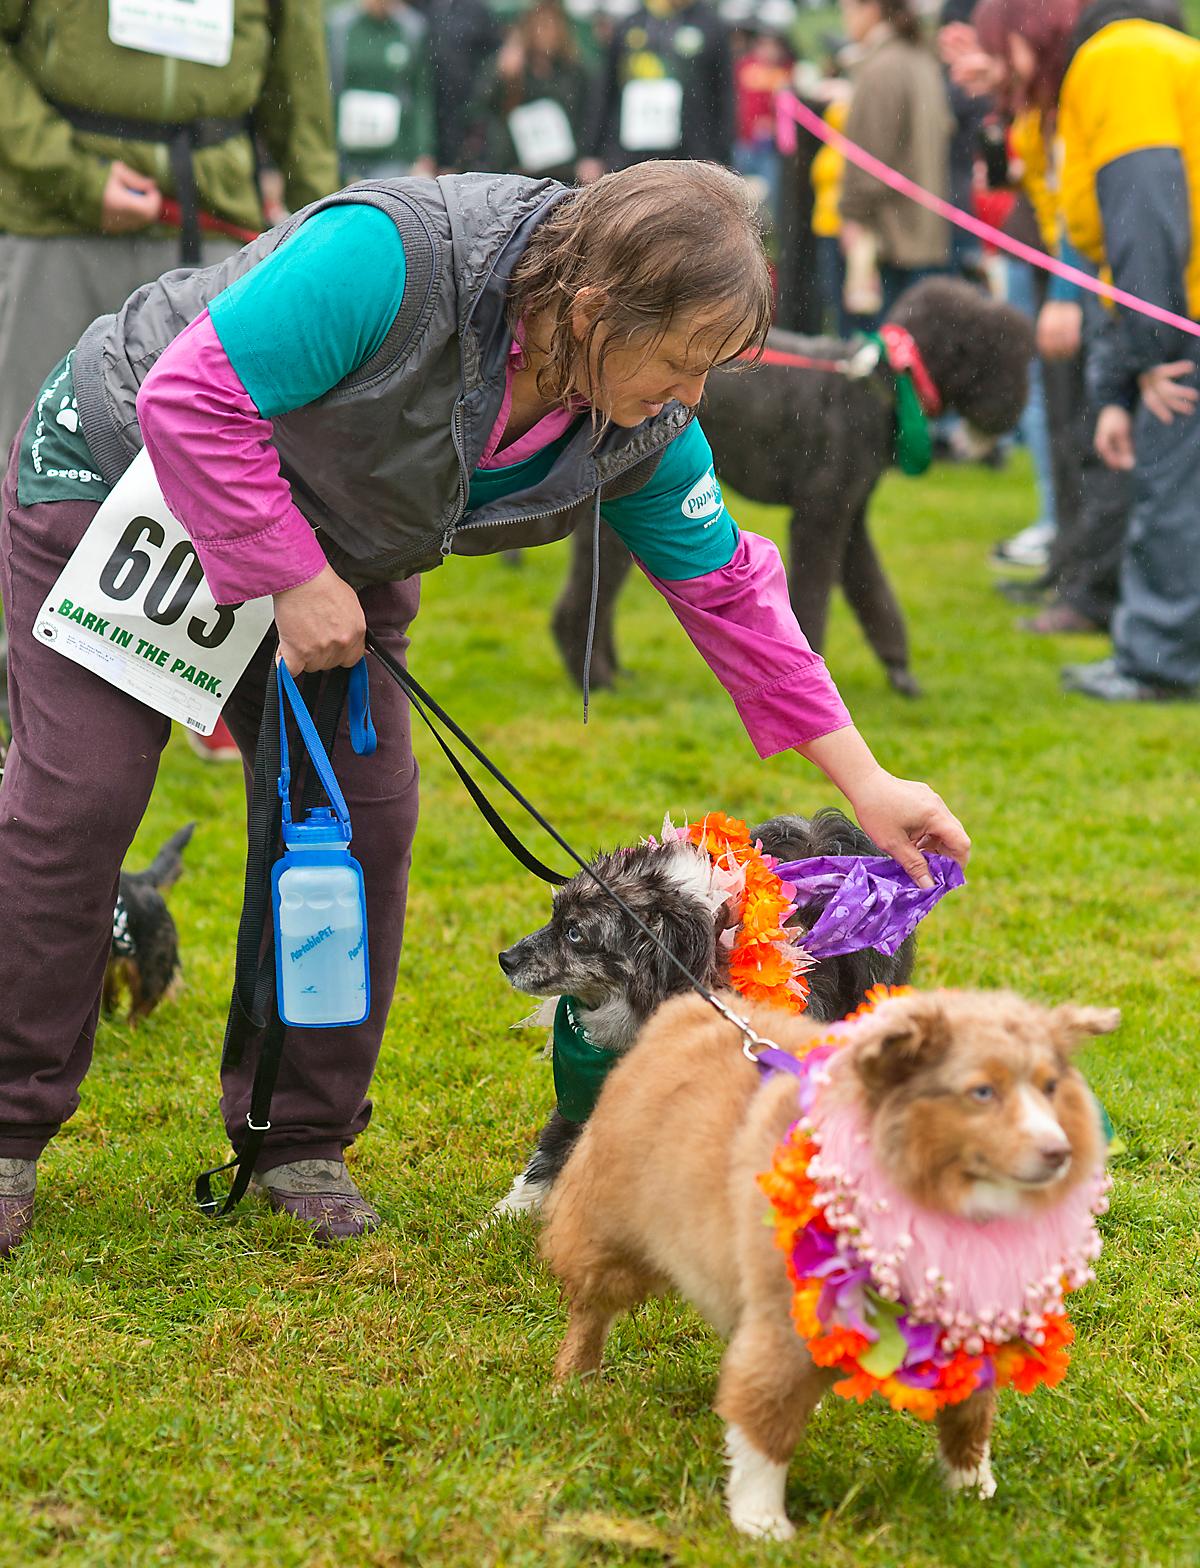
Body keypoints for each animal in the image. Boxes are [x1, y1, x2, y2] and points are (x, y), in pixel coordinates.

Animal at [492, 802, 909, 1216]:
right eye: (554, 917)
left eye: (574, 933)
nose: (504, 959)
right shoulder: (582, 1087)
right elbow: (549, 1155)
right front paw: (502, 1218)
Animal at [552, 279, 1029, 702]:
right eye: (997, 356)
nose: (1014, 412)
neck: (880, 382)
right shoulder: (821, 514)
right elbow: (815, 597)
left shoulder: (850, 515)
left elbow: (873, 591)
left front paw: (899, 671)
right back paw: (595, 678)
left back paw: (611, 671)